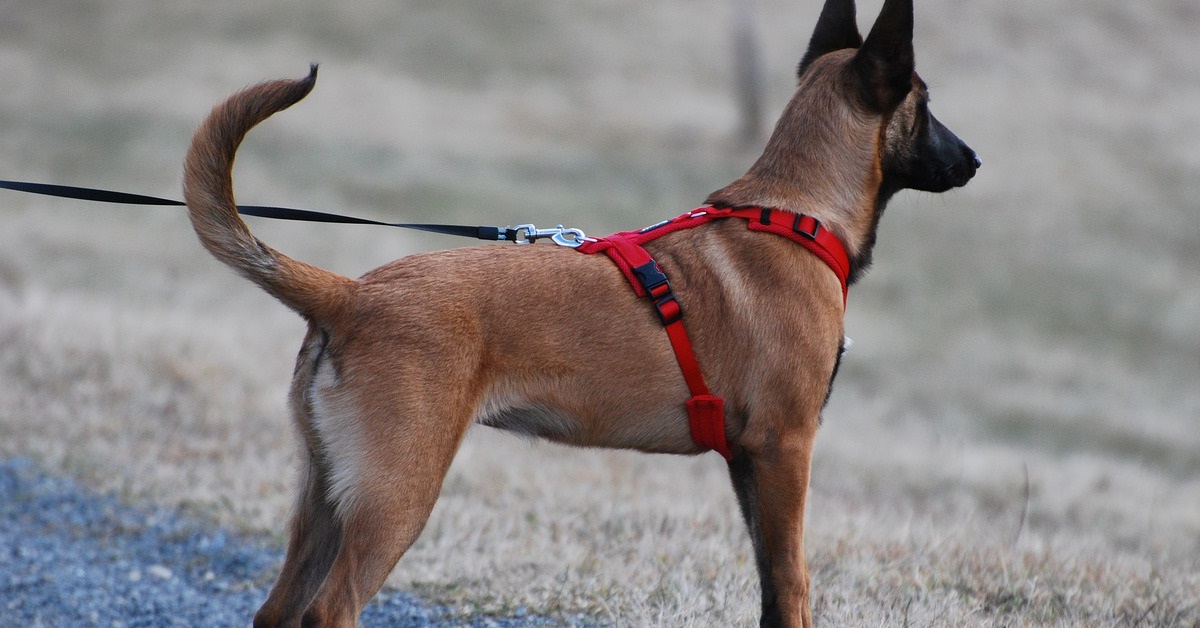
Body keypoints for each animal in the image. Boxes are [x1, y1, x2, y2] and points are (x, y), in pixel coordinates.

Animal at [184, 0, 974, 624]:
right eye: (926, 102)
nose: (973, 160)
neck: (793, 213)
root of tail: (349, 294)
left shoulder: (750, 464)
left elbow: (770, 588)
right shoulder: (785, 449)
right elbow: (793, 586)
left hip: (325, 496)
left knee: (278, 609)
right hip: (396, 494)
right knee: (329, 609)